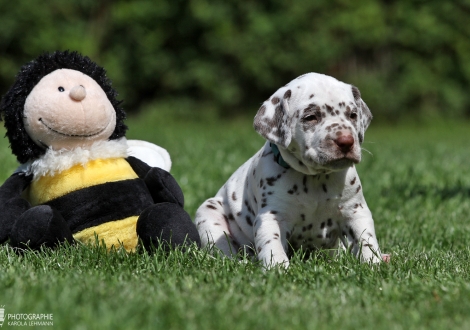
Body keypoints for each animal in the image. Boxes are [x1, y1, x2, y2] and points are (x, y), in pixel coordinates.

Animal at [196, 73, 390, 268]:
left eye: (353, 115)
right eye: (311, 117)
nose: (346, 141)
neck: (315, 178)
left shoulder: (355, 211)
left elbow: (366, 239)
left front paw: (374, 264)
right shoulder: (272, 216)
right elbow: (272, 244)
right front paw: (278, 268)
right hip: (208, 214)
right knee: (223, 250)